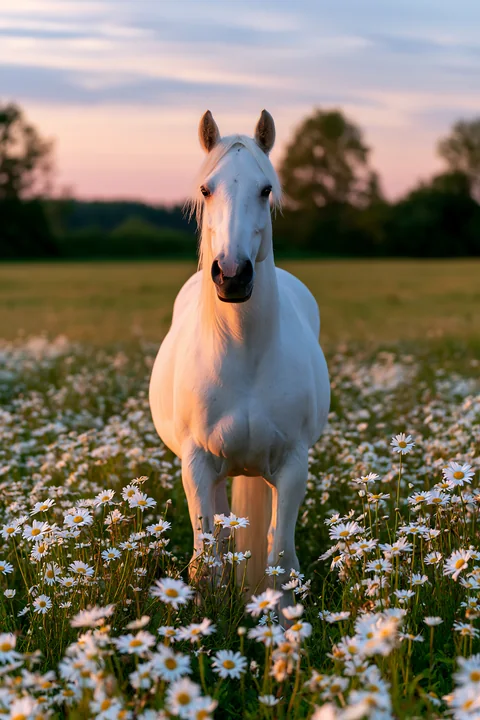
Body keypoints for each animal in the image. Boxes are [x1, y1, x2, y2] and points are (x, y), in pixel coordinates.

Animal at [149, 110, 330, 600]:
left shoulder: (292, 466)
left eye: (265, 189)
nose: (231, 275)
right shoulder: (196, 466)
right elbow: (205, 566)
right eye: (205, 189)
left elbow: (281, 563)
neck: (244, 354)